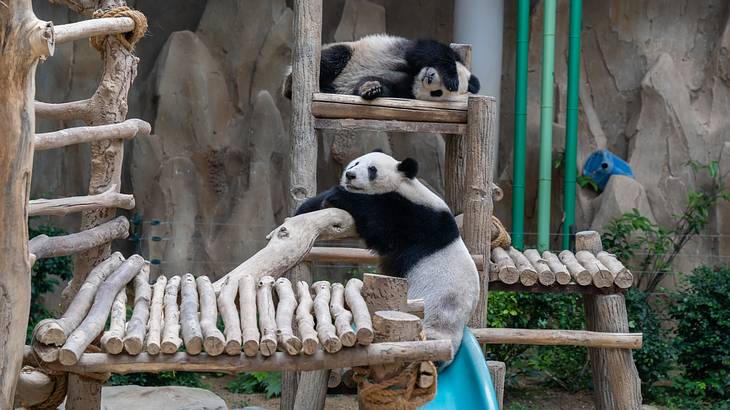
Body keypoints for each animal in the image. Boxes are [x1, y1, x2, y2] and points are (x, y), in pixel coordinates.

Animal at [282, 33, 478, 101]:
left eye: (437, 93)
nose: (429, 77)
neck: (415, 75)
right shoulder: (405, 50)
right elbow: (426, 50)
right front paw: (452, 77)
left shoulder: (405, 90)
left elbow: (381, 84)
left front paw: (372, 89)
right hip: (348, 50)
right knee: (334, 57)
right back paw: (292, 84)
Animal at [296, 150, 478, 366]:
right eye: (356, 163)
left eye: (372, 169)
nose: (350, 175)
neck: (403, 185)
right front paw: (306, 207)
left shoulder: (411, 219)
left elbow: (377, 224)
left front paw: (339, 196)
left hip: (436, 312)